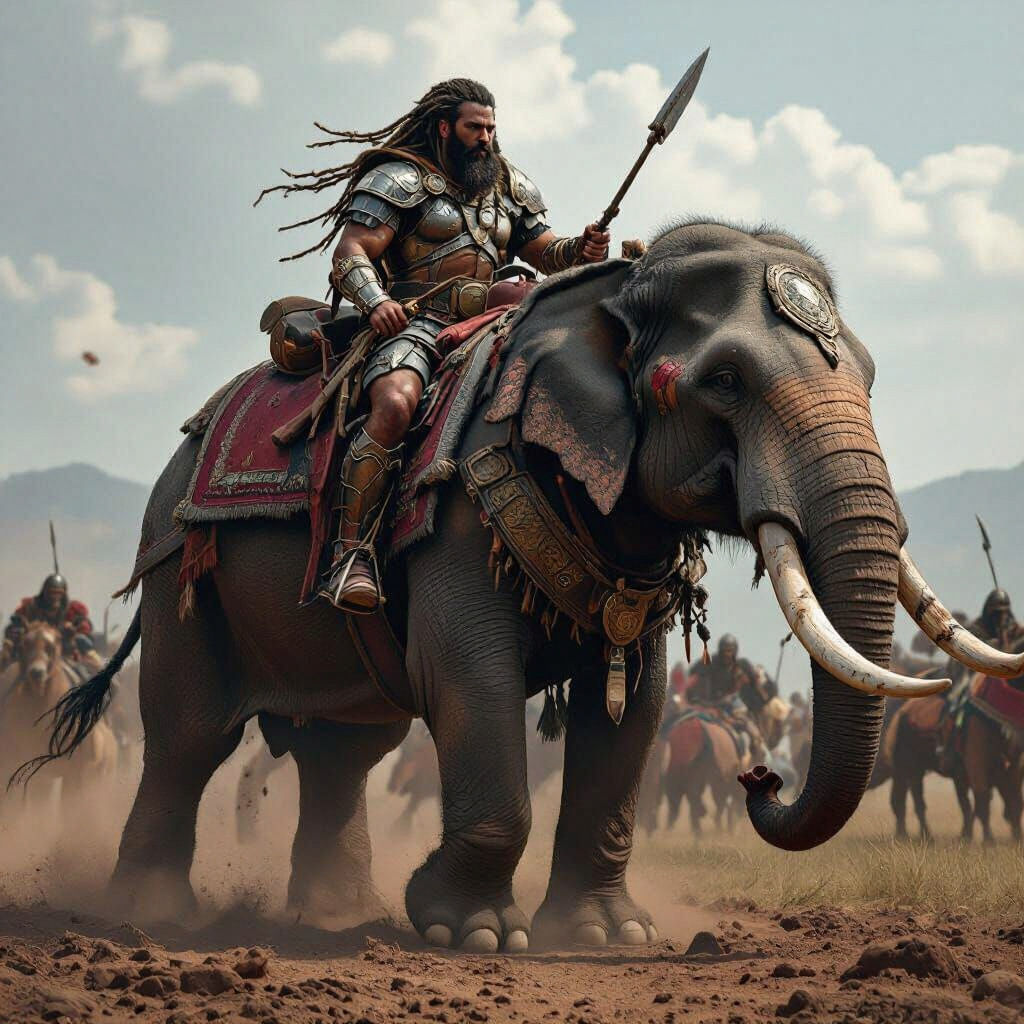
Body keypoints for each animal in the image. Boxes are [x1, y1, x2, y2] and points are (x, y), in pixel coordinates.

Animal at [36, 219, 1024, 954]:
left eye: (869, 378)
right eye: (724, 382)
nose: (757, 773)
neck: (609, 297)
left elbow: (633, 709)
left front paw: (605, 939)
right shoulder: (458, 503)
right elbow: (469, 677)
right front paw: (471, 935)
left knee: (344, 750)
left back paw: (337, 912)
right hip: (178, 565)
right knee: (188, 736)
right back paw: (153, 915)